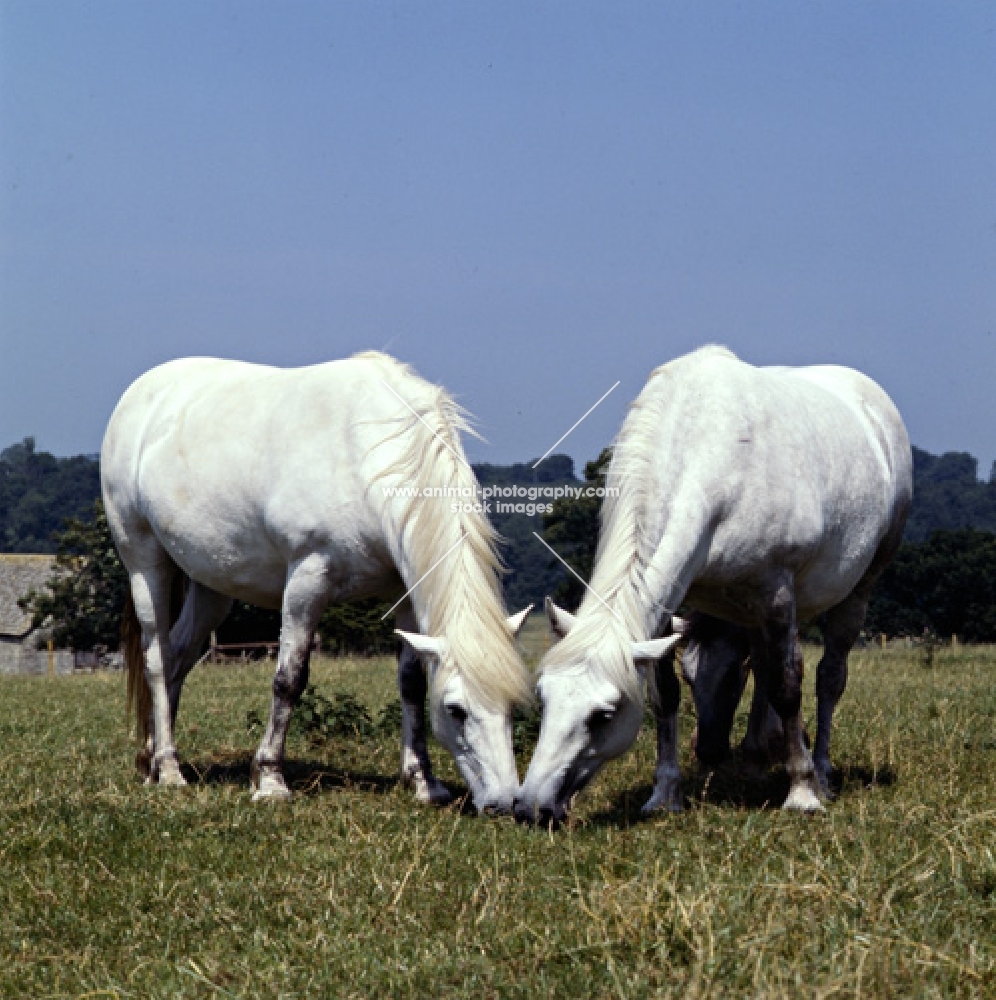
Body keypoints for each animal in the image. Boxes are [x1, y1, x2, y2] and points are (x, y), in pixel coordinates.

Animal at [104, 352, 532, 812]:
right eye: (456, 710)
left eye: (512, 706)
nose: (504, 803)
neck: (364, 455)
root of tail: (141, 392)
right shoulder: (307, 581)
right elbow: (289, 679)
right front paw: (270, 779)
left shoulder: (406, 596)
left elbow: (412, 684)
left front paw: (423, 782)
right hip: (144, 561)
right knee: (157, 659)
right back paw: (168, 770)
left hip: (212, 585)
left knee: (179, 656)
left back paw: (151, 757)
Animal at [516, 348, 916, 824]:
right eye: (543, 697)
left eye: (604, 714)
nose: (530, 807)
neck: (710, 461)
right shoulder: (668, 609)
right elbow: (666, 695)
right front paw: (665, 794)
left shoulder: (776, 594)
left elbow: (787, 685)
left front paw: (802, 792)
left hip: (856, 590)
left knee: (827, 679)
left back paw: (820, 772)